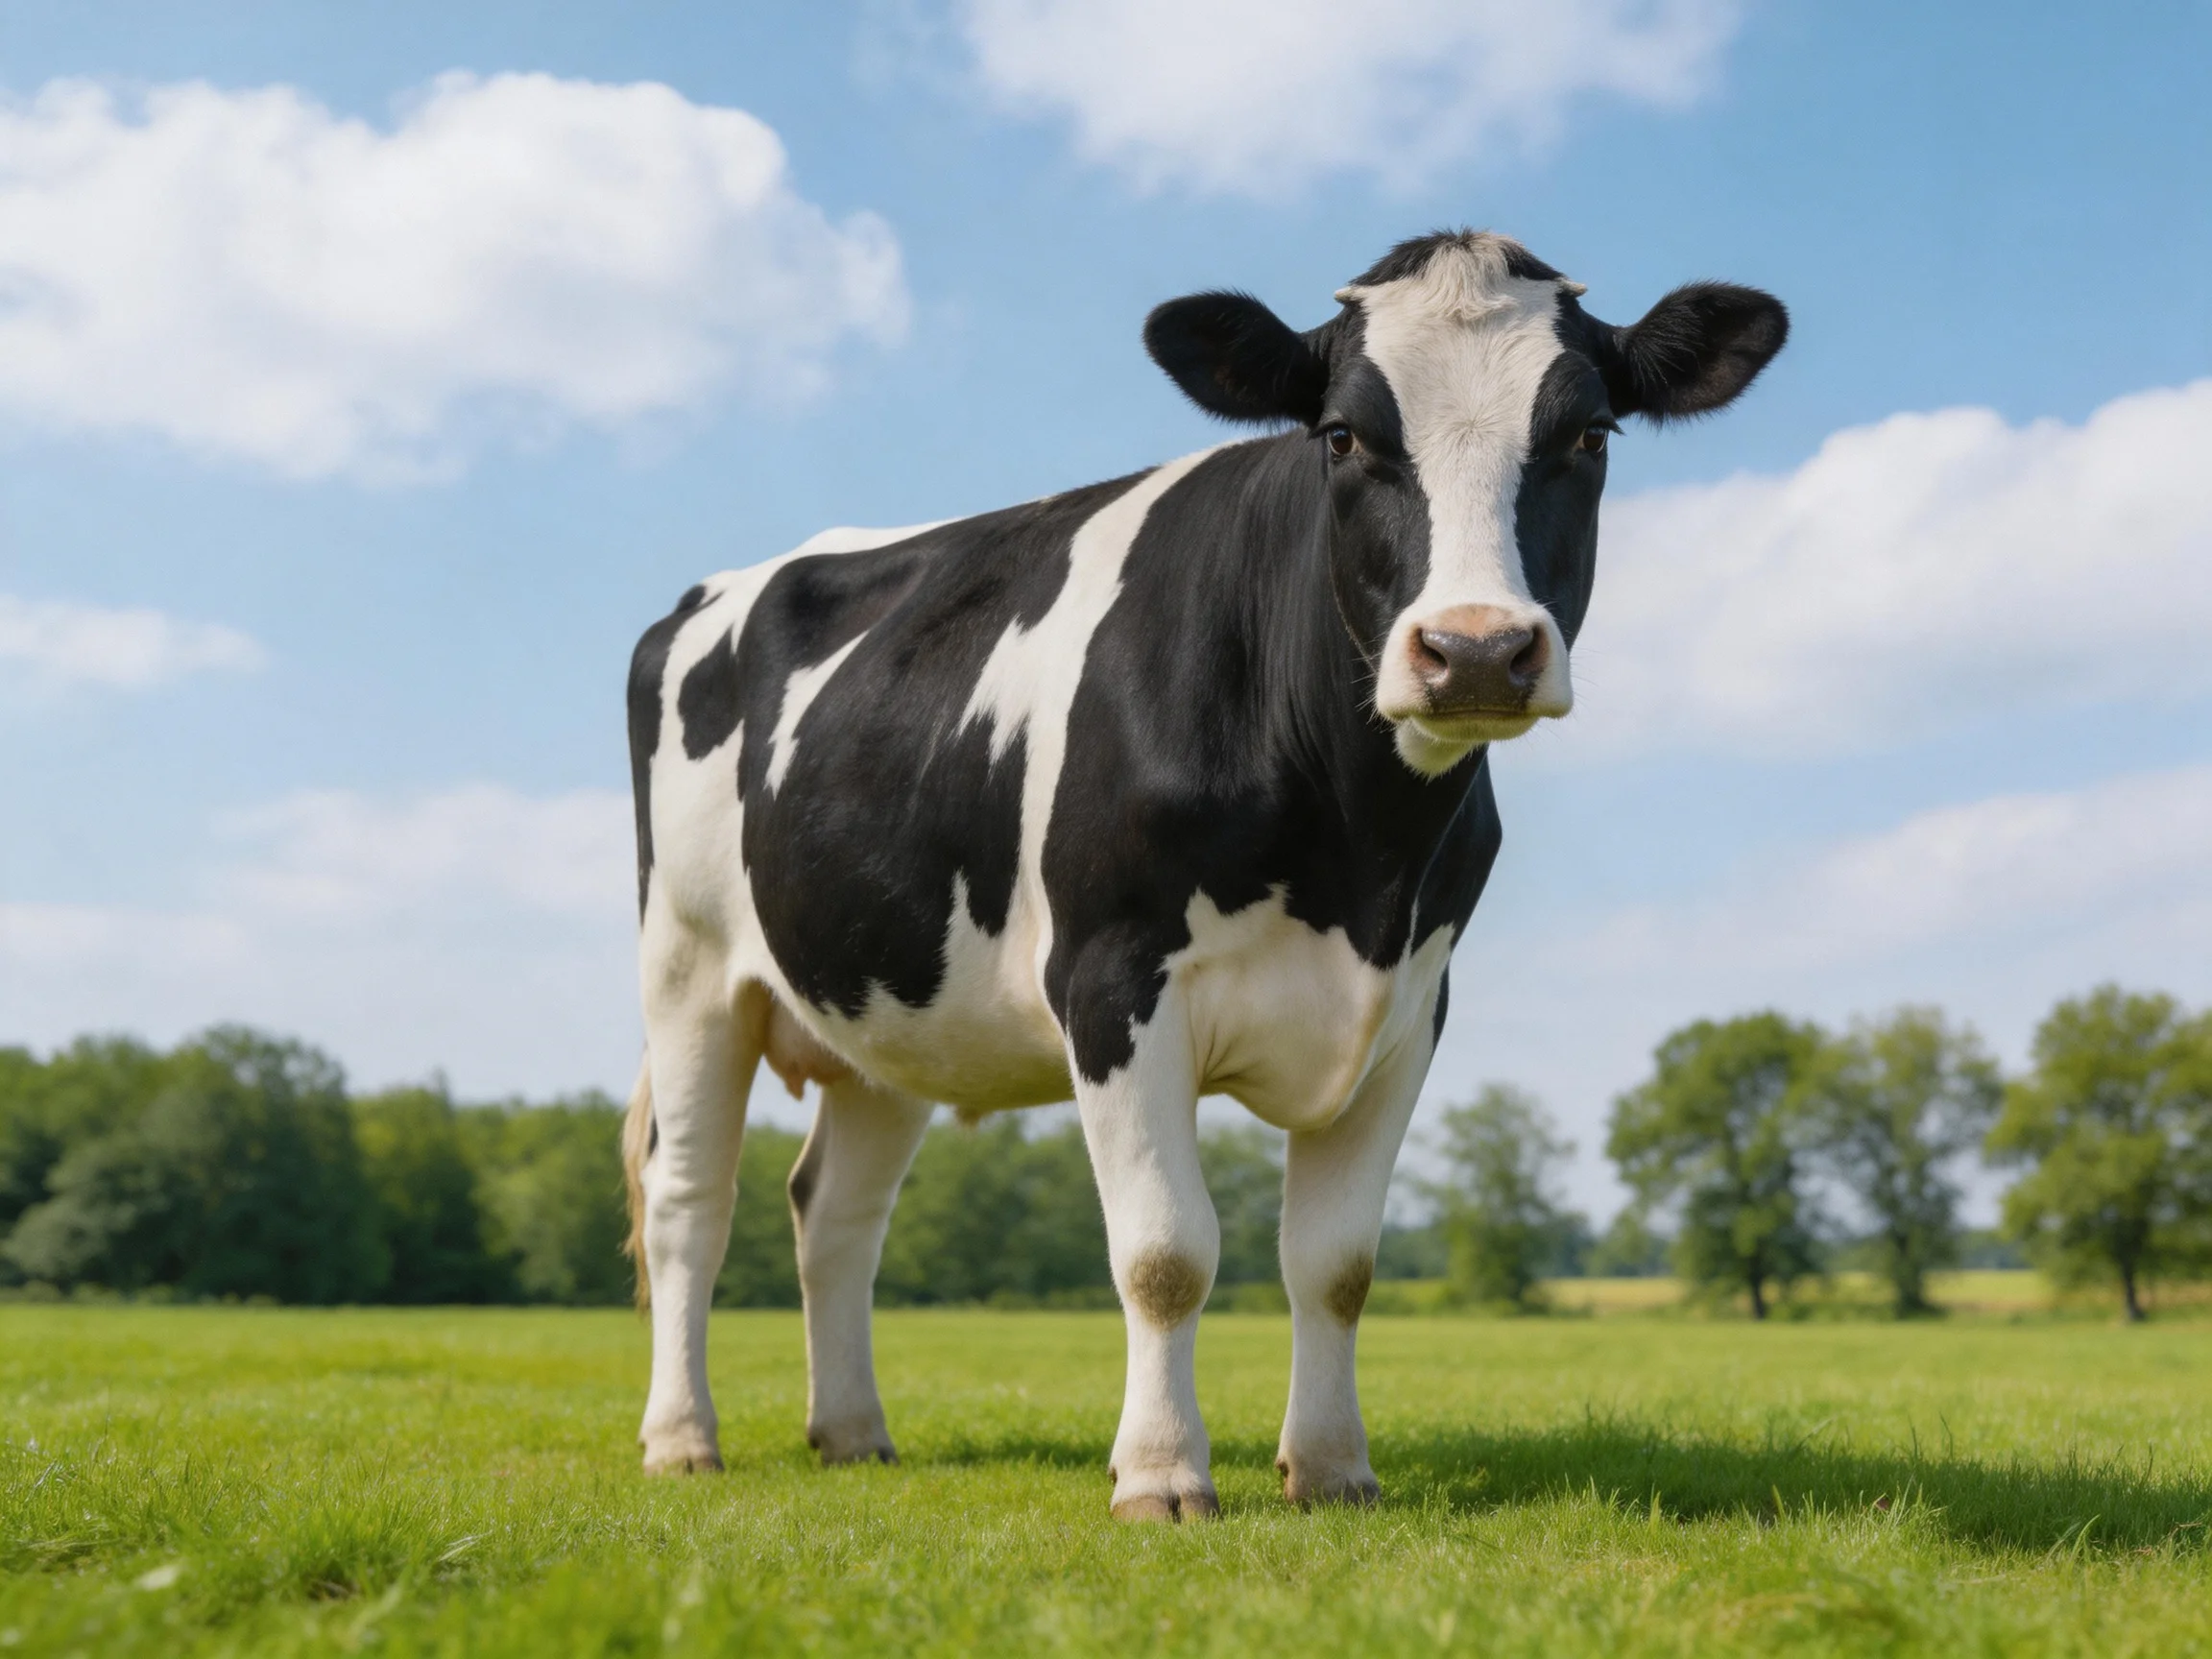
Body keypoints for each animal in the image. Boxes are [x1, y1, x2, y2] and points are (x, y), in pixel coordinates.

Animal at [621, 229, 1787, 1520]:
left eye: (1591, 435)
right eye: (1343, 435)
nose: (1476, 648)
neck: (1356, 856)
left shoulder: (1412, 1007)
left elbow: (1336, 1264)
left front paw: (1330, 1467)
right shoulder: (1112, 980)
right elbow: (1166, 1254)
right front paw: (1164, 1473)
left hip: (889, 1008)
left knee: (836, 1212)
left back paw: (853, 1432)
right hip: (688, 969)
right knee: (688, 1204)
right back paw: (682, 1438)